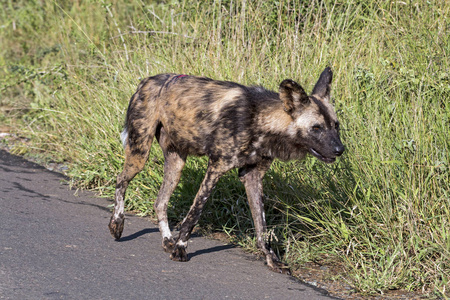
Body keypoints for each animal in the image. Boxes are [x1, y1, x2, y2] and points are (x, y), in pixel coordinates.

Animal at [108, 68, 344, 274]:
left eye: (336, 125)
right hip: (140, 153)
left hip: (176, 165)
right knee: (121, 180)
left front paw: (271, 260)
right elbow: (194, 214)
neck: (260, 120)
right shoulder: (216, 168)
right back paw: (117, 224)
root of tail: (148, 80)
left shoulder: (252, 177)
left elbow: (261, 227)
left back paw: (167, 240)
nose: (340, 150)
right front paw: (181, 249)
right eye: (316, 128)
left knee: (160, 202)